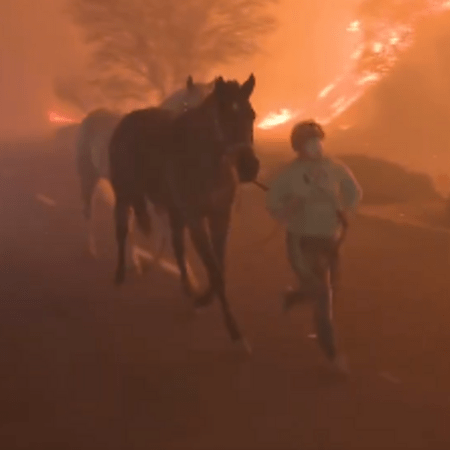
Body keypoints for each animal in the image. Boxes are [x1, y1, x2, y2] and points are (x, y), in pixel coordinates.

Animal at [75, 76, 214, 274]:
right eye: (188, 107)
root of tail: (91, 116)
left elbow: (167, 232)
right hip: (88, 176)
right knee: (88, 211)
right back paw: (92, 251)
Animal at [107, 74, 258, 348]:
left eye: (251, 115)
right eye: (223, 116)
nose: (249, 167)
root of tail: (127, 120)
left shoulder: (220, 218)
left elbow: (219, 267)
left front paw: (202, 300)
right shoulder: (197, 220)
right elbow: (215, 271)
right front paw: (235, 333)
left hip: (173, 209)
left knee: (177, 246)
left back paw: (188, 289)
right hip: (125, 195)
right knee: (122, 230)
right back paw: (120, 275)